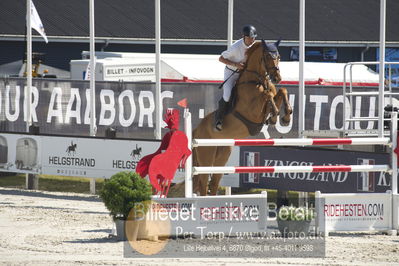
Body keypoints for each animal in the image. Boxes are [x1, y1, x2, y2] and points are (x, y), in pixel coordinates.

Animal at [192, 40, 292, 196]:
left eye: (279, 56)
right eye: (267, 56)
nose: (277, 78)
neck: (256, 81)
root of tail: (196, 130)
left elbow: (281, 91)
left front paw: (285, 117)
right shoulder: (252, 111)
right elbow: (267, 95)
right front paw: (275, 116)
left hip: (222, 155)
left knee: (214, 182)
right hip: (206, 155)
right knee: (203, 183)